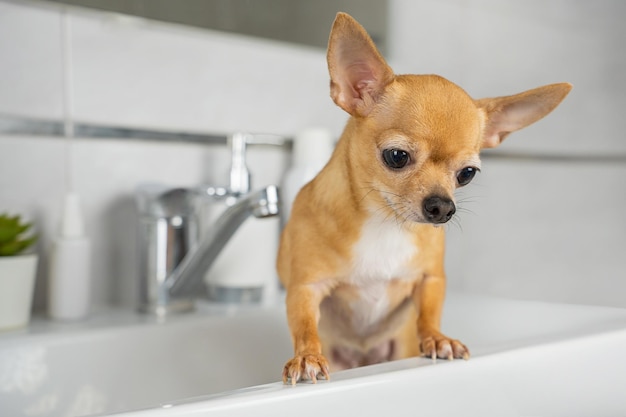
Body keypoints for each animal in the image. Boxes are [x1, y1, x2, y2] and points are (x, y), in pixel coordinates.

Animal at [278, 12, 572, 384]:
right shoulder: (306, 287)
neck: (385, 223)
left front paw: (438, 338)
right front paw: (307, 356)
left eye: (467, 174)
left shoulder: (431, 279)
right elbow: (304, 324)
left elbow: (429, 312)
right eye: (396, 157)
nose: (443, 207)